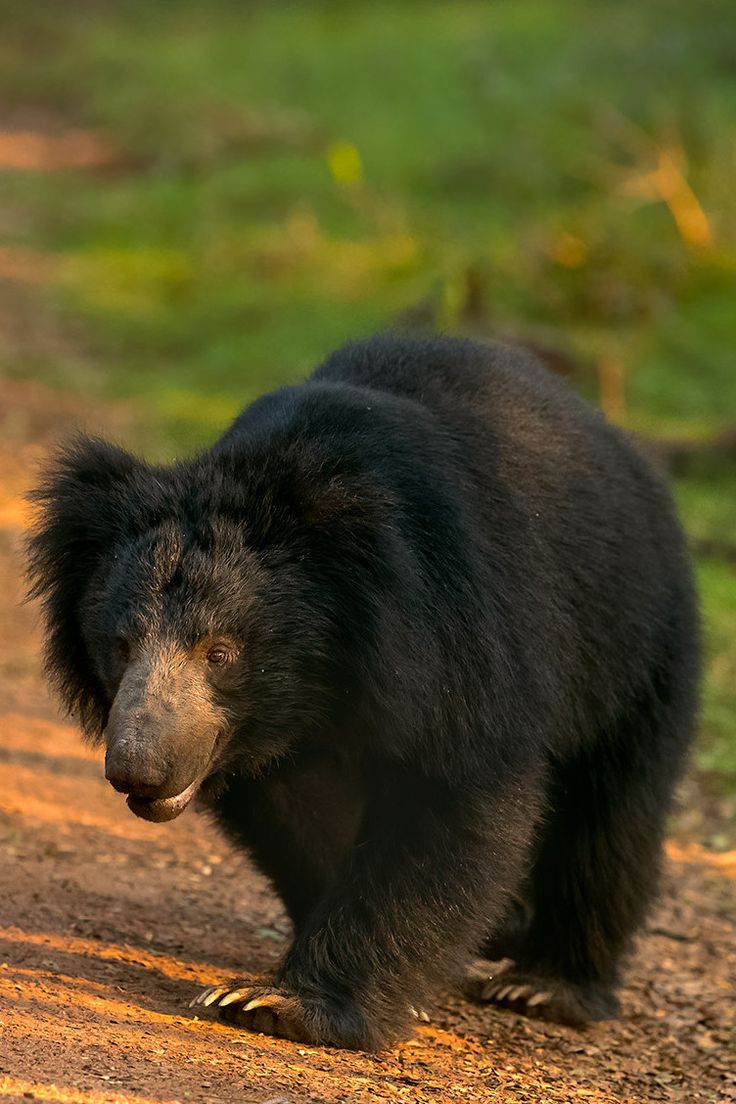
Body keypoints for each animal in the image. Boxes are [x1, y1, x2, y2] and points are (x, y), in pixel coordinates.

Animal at [27, 333, 699, 1050]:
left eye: (221, 653)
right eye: (121, 645)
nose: (140, 770)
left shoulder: (456, 627)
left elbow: (450, 793)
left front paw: (278, 1002)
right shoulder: (274, 738)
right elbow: (298, 817)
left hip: (639, 645)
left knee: (613, 817)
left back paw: (547, 984)